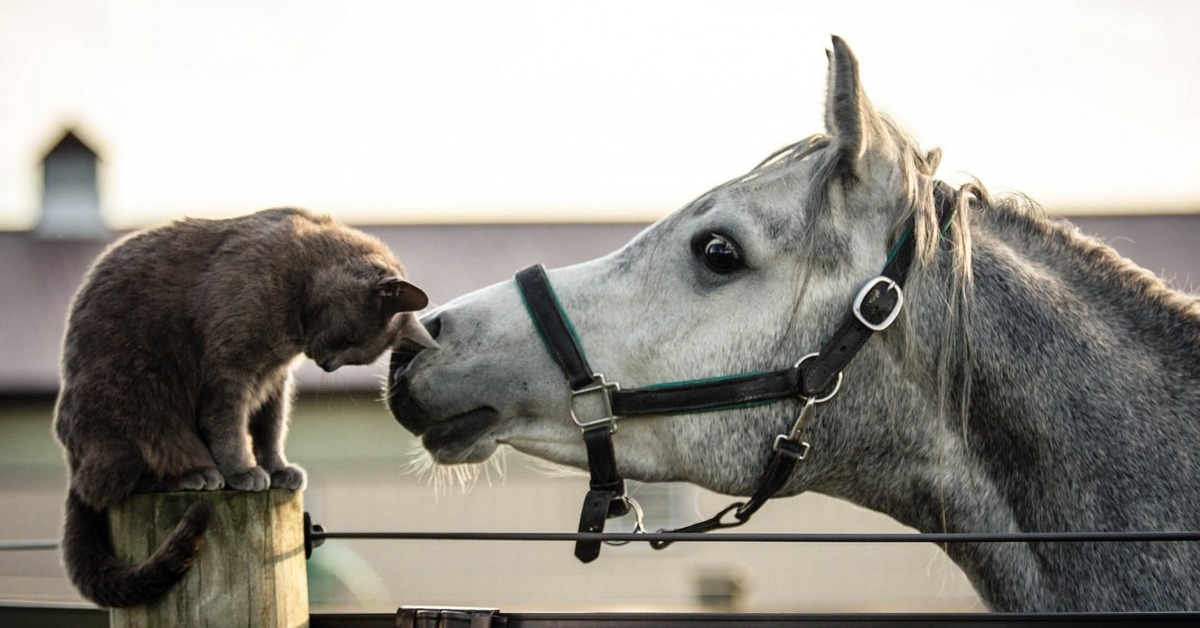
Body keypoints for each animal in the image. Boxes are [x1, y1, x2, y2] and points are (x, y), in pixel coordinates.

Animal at [52, 208, 436, 607]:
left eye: (356, 356)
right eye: (349, 339)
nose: (328, 365)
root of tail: (73, 464)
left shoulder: (274, 382)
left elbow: (271, 429)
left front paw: (278, 470)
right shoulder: (230, 370)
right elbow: (229, 427)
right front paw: (243, 472)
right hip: (134, 405)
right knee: (112, 483)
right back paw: (196, 474)